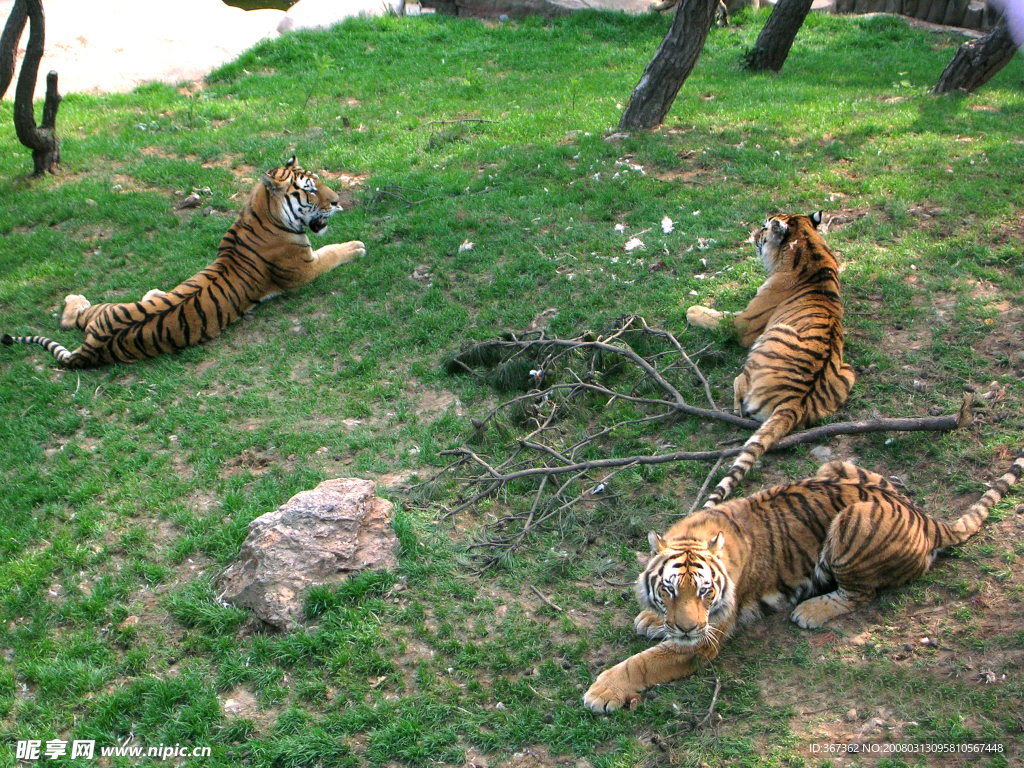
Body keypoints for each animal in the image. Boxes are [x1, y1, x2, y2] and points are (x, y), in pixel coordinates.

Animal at [2, 155, 364, 366]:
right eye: (310, 189)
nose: (337, 201)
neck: (261, 211)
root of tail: (92, 345)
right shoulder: (304, 268)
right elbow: (332, 253)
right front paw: (357, 246)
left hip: (100, 313)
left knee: (72, 318)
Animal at [585, 450, 1024, 716]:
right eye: (669, 589)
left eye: (706, 591)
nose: (687, 627)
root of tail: (925, 517)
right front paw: (650, 618)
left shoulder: (703, 642)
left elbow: (644, 662)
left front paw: (602, 692)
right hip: (839, 468)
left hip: (852, 522)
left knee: (861, 592)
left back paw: (811, 610)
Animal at [688, 214, 856, 507]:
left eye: (764, 227)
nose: (753, 234)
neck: (811, 247)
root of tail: (796, 403)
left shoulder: (743, 324)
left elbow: (715, 317)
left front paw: (691, 310)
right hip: (849, 371)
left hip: (773, 335)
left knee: (740, 389)